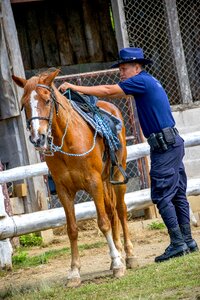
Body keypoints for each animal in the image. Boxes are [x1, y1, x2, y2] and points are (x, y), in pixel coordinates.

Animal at [12, 69, 138, 288]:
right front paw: (74, 273)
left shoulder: (93, 184)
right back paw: (119, 251)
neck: (68, 141)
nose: (38, 138)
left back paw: (128, 256)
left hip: (115, 176)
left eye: (47, 100)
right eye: (24, 103)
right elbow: (72, 229)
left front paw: (117, 265)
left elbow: (102, 222)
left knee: (120, 210)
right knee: (112, 211)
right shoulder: (64, 191)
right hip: (105, 181)